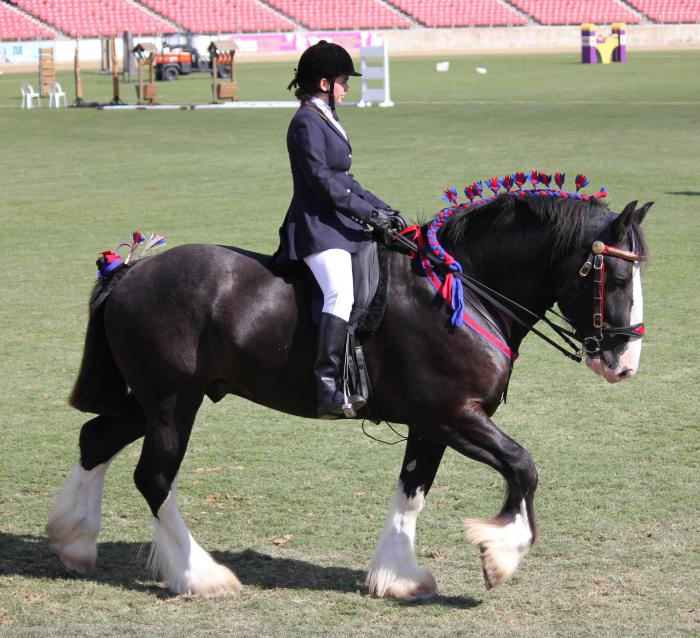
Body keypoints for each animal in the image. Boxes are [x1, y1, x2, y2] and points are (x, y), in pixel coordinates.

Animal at [46, 174, 650, 600]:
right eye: (618, 277)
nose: (624, 363)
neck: (463, 291)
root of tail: (130, 271)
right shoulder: (456, 414)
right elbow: (523, 466)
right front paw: (499, 554)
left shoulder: (432, 423)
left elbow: (412, 490)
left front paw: (399, 577)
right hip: (173, 402)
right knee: (153, 476)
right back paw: (201, 576)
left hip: (152, 401)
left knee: (96, 440)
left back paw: (72, 541)